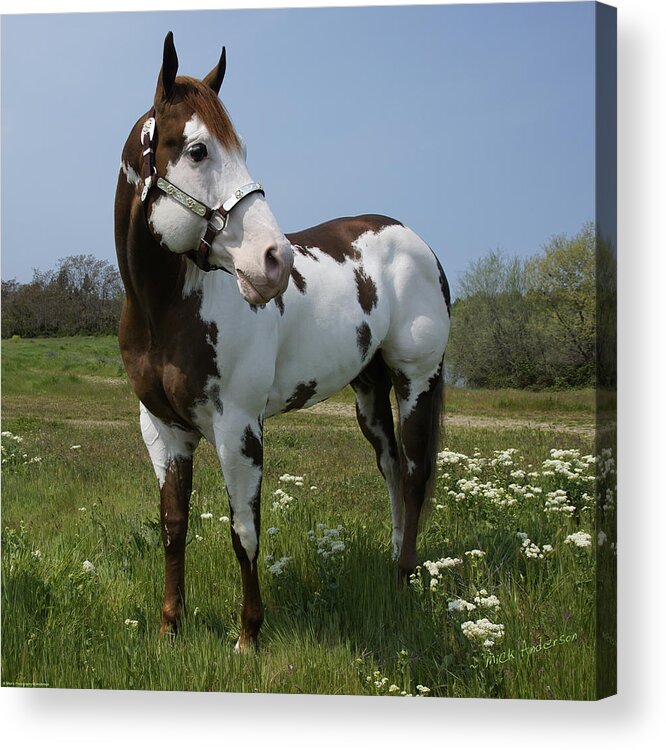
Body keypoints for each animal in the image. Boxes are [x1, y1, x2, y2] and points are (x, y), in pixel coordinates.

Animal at [115, 30, 452, 652]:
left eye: (241, 147)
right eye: (197, 150)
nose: (276, 261)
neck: (167, 310)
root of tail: (416, 241)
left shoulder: (239, 428)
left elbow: (244, 531)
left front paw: (248, 635)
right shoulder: (165, 431)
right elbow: (173, 528)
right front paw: (169, 628)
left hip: (416, 380)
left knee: (416, 477)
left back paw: (403, 583)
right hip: (369, 393)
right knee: (393, 470)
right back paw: (394, 566)